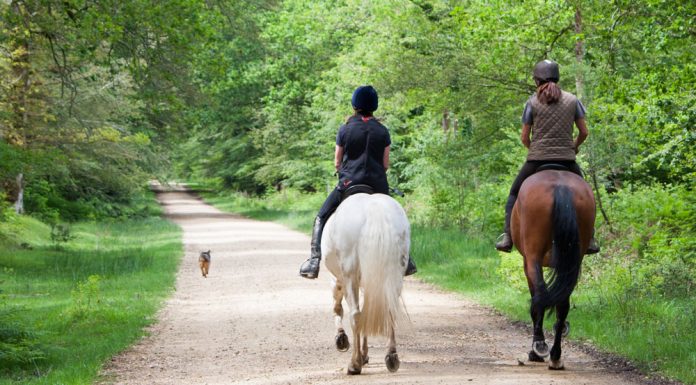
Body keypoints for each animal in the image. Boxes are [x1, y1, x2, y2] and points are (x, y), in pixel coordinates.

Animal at [324, 194, 410, 374]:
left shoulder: (337, 279)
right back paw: (391, 357)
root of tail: (374, 208)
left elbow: (338, 307)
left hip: (350, 275)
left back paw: (354, 364)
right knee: (389, 309)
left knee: (356, 315)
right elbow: (368, 311)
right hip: (394, 274)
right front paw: (364, 353)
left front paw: (341, 339)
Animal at [512, 168, 592, 368]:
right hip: (574, 260)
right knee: (562, 303)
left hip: (533, 257)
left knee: (540, 296)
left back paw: (539, 347)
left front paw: (535, 350)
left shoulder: (527, 261)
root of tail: (560, 186)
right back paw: (556, 355)